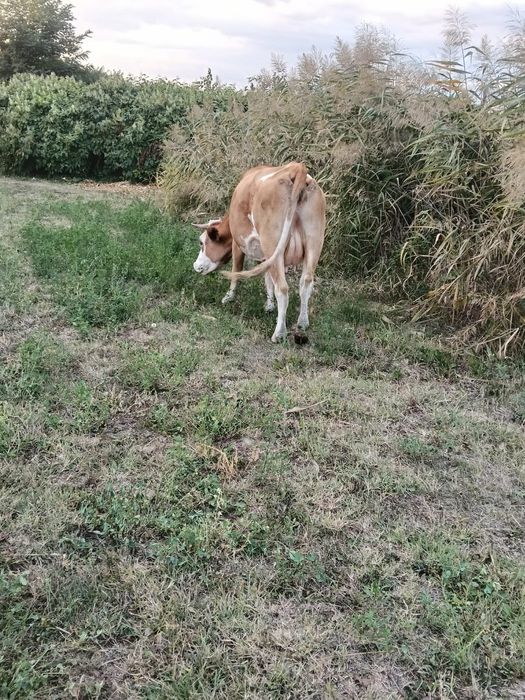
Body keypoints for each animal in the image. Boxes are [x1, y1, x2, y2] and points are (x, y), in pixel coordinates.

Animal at [192, 162, 326, 343]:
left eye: (202, 242)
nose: (195, 265)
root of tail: (296, 168)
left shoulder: (238, 243)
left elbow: (236, 269)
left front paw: (229, 296)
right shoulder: (267, 255)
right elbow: (268, 278)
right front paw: (269, 305)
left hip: (273, 243)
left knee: (282, 288)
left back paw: (279, 333)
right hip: (314, 242)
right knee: (305, 282)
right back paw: (302, 322)